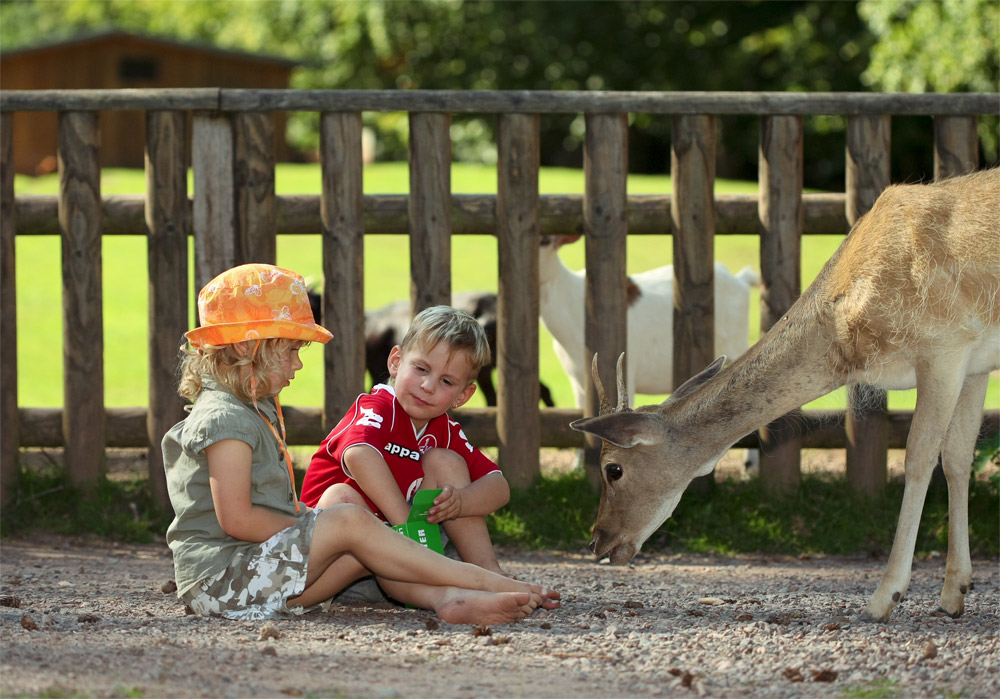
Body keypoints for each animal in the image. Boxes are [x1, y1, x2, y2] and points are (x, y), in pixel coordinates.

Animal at [544, 232, 760, 468]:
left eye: (546, 241)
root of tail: (742, 279)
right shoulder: (575, 378)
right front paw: (577, 467)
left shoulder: (627, 372)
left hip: (738, 344)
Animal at [572, 168, 1000, 624]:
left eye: (613, 469)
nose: (597, 541)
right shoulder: (974, 361)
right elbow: (957, 456)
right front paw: (955, 592)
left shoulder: (943, 343)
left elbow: (918, 456)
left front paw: (884, 598)